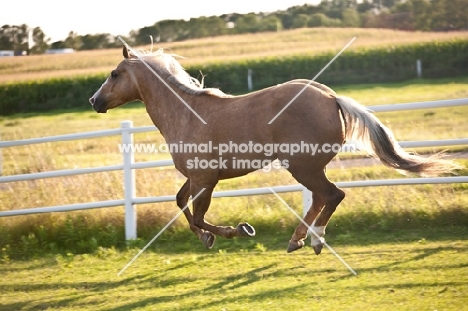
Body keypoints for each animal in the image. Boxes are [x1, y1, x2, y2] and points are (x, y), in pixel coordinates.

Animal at [88, 47, 460, 256]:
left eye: (114, 73)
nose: (94, 101)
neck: (188, 113)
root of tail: (331, 97)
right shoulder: (197, 177)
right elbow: (182, 205)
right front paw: (208, 239)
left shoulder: (205, 180)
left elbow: (198, 214)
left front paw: (237, 231)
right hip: (307, 168)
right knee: (323, 198)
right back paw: (298, 240)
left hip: (303, 167)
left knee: (333, 195)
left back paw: (314, 240)